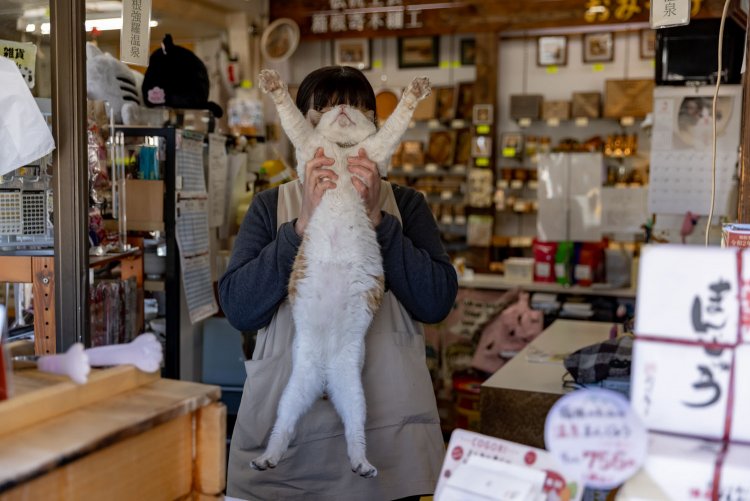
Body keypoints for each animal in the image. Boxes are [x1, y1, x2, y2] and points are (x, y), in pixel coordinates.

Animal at [253, 69, 428, 476]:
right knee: (283, 427)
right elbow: (290, 115)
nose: (345, 108)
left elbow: (399, 119)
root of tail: (324, 375)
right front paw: (274, 84)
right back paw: (267, 458)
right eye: (333, 108)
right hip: (295, 391)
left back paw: (361, 464)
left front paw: (415, 91)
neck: (346, 152)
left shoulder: (378, 151)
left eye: (353, 107)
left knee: (354, 431)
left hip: (353, 393)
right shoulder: (307, 144)